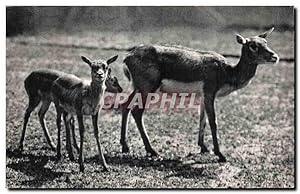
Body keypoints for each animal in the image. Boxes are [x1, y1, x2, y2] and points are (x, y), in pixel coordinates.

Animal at [119, 27, 278, 162]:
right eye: (253, 45)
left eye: (265, 42)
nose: (274, 56)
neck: (226, 72)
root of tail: (128, 56)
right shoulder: (209, 92)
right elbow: (213, 122)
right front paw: (220, 154)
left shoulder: (202, 96)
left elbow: (203, 119)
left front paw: (204, 147)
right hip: (147, 89)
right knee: (137, 112)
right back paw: (152, 150)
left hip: (138, 88)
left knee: (125, 105)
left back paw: (125, 146)